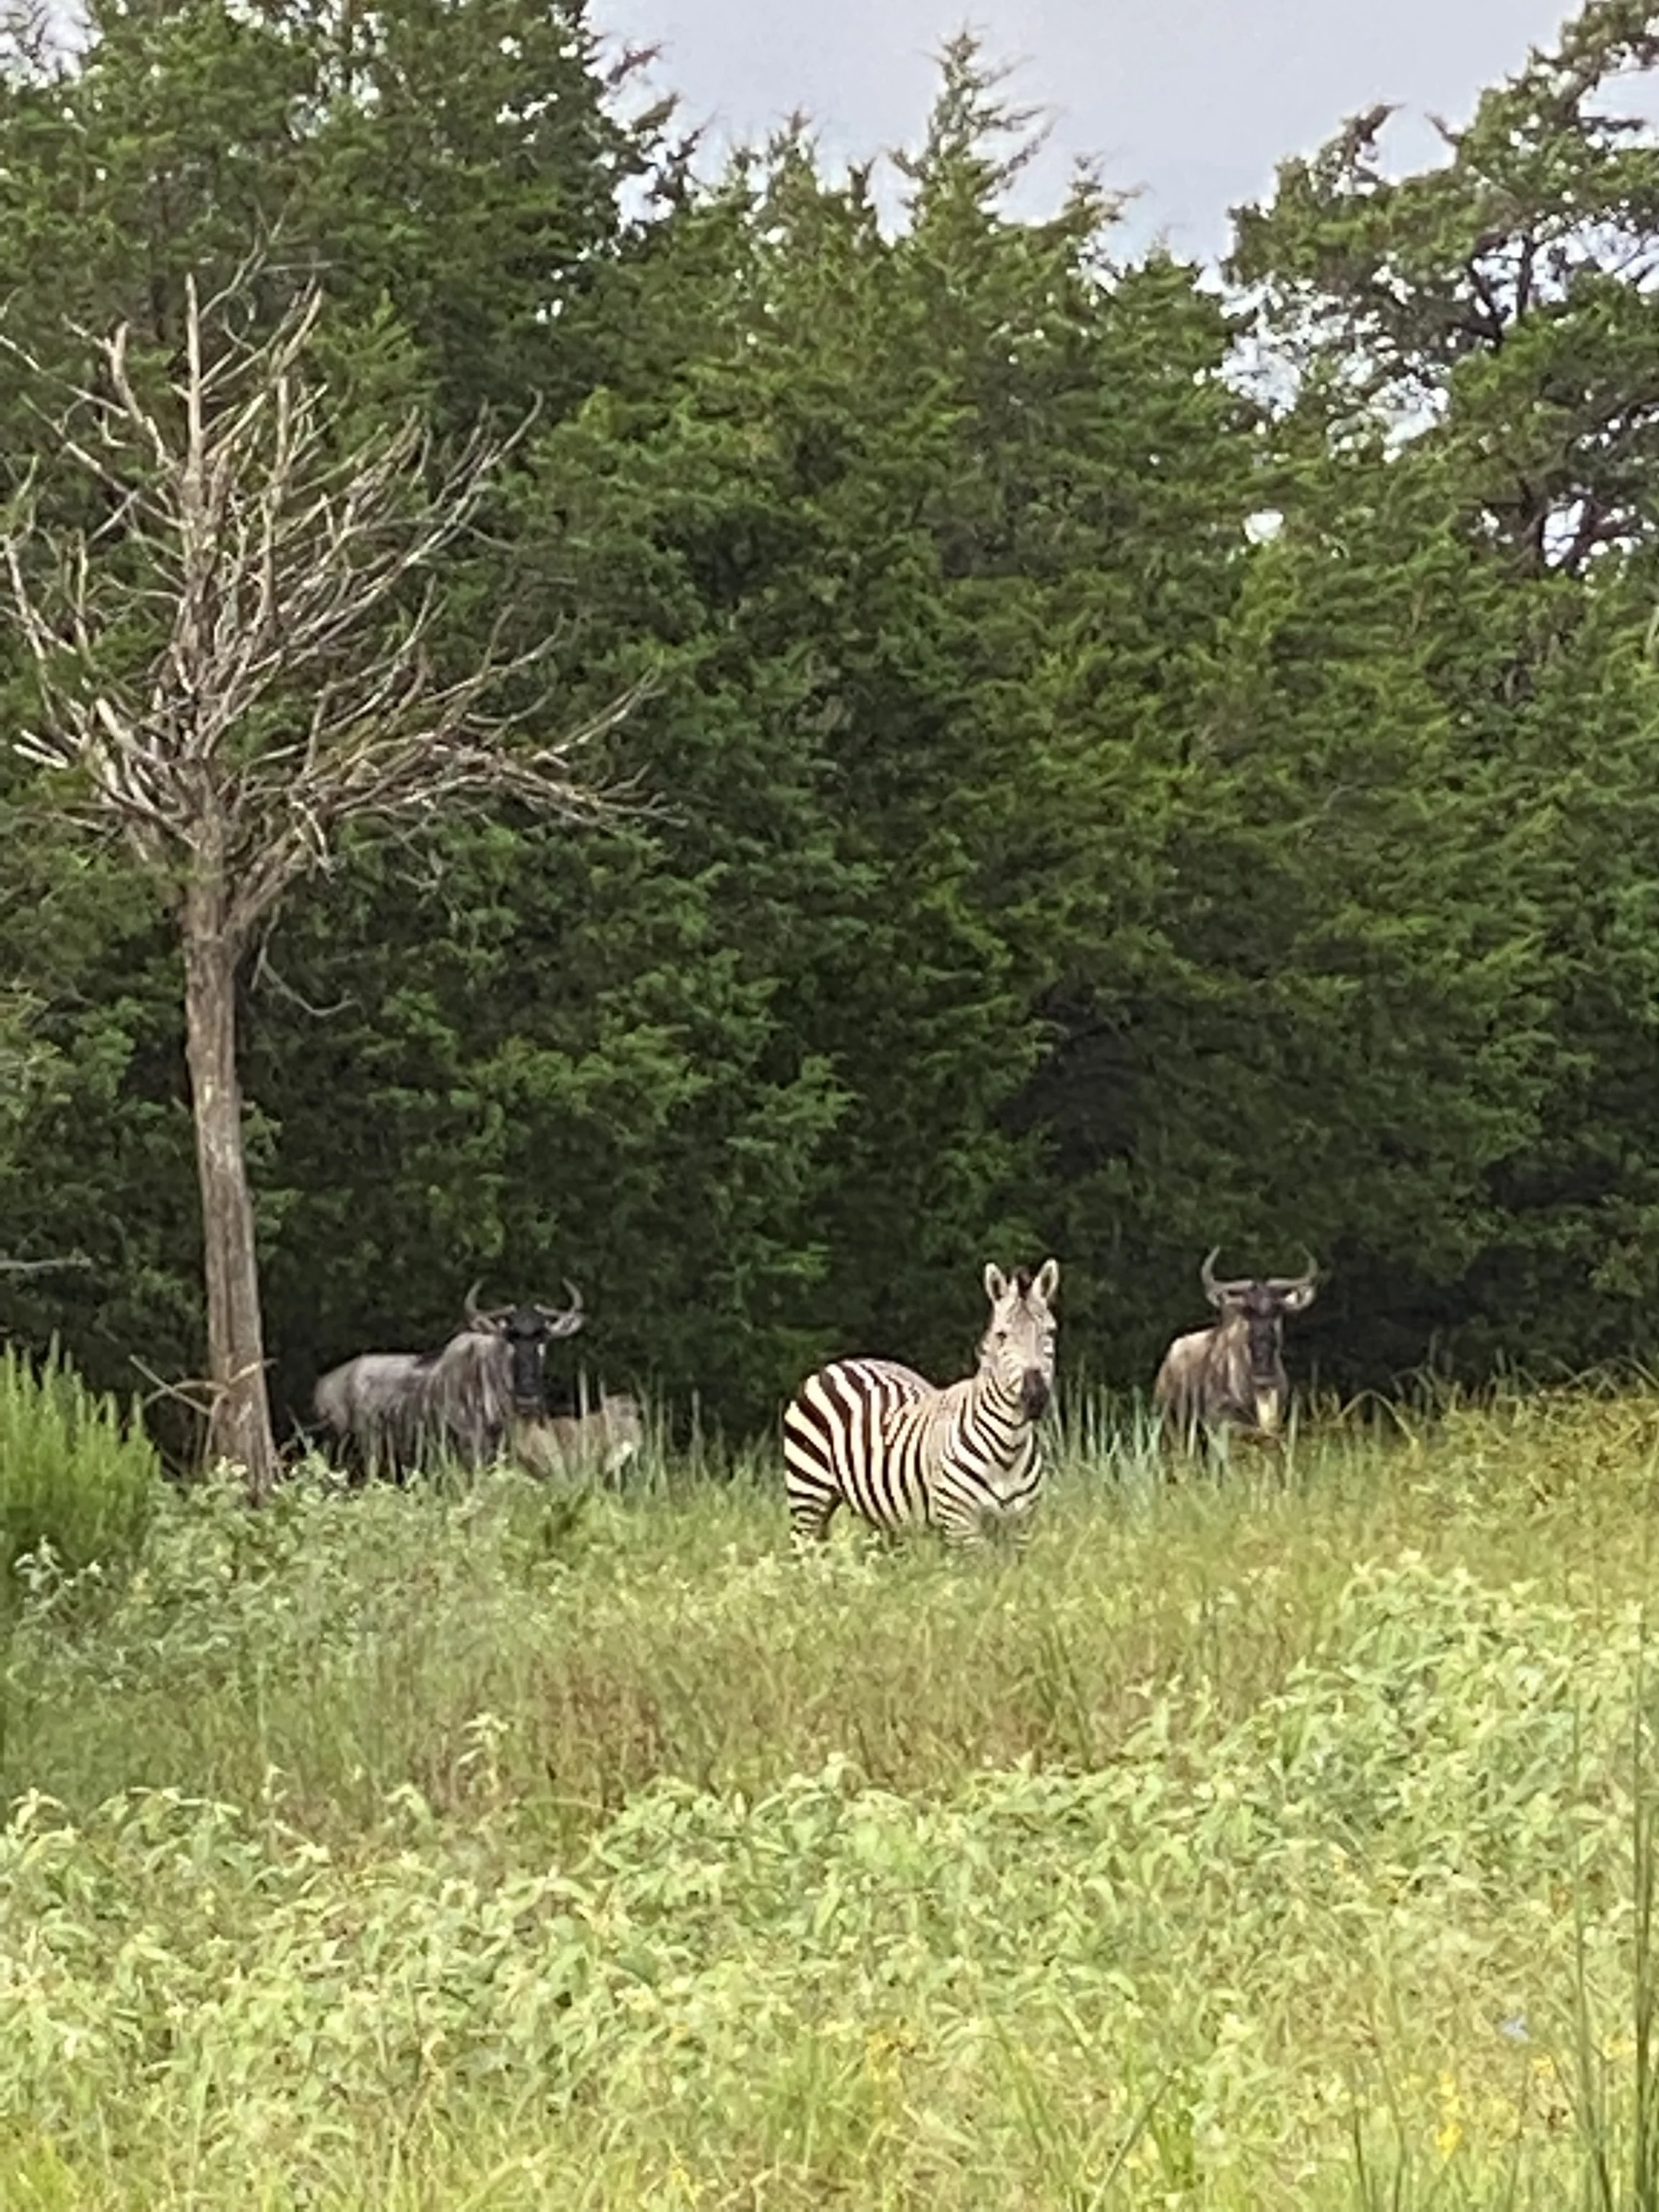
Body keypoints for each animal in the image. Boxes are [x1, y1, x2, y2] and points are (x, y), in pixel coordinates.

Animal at [781, 1259, 1060, 1551]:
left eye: (1050, 1333)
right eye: (1002, 1336)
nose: (1035, 1396)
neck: (1009, 1451)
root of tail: (837, 1365)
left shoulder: (1021, 1528)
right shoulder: (961, 1525)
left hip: (877, 1512)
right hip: (807, 1493)